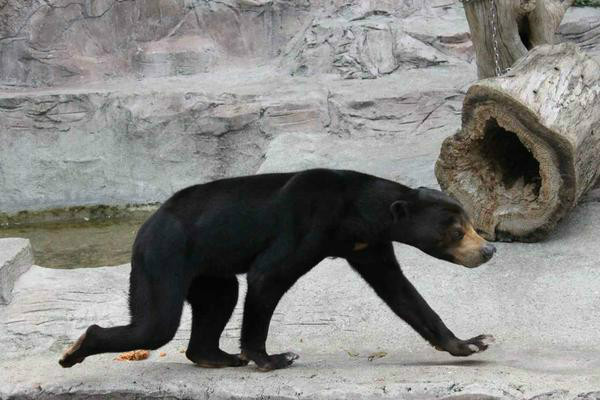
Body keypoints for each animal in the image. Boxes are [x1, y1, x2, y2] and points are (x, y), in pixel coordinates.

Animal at [58, 167, 496, 370]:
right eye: (457, 231)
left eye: (471, 223)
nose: (488, 250)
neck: (356, 213)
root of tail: (146, 225)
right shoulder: (309, 222)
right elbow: (267, 275)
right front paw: (272, 357)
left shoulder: (368, 245)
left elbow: (400, 291)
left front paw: (472, 342)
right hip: (164, 256)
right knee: (157, 323)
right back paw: (74, 350)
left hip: (207, 268)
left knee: (219, 299)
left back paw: (215, 356)